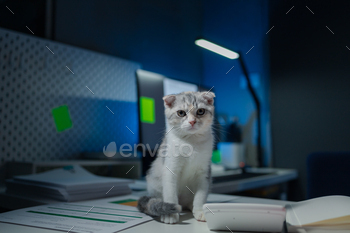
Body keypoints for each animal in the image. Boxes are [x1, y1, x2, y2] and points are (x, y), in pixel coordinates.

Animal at [137, 91, 215, 224]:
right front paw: (170, 215)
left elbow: (200, 196)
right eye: (181, 113)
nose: (192, 121)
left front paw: (200, 210)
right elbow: (170, 194)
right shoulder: (170, 169)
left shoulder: (204, 173)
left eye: (200, 111)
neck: (191, 142)